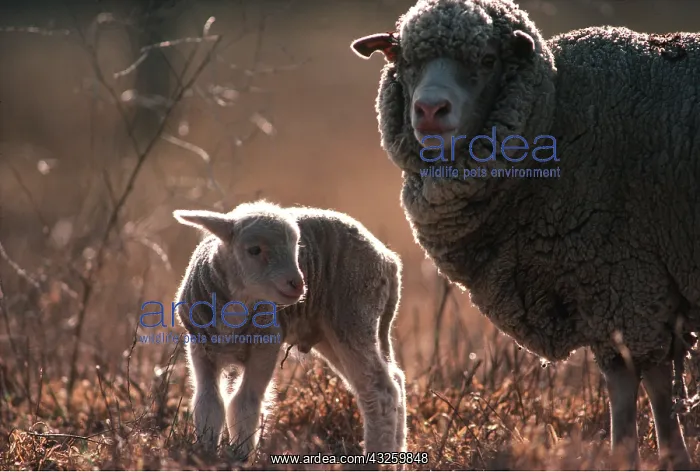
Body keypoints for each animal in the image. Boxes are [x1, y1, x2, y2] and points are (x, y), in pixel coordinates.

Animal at [172, 200, 406, 459]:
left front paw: (241, 456)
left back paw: (379, 457)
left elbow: (245, 402)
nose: (298, 284)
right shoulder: (201, 349)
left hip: (354, 316)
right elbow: (208, 402)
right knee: (393, 380)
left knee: (380, 391)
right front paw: (205, 454)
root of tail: (389, 260)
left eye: (296, 248)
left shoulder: (266, 345)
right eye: (254, 250)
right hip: (334, 334)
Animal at [350, 0, 700, 468]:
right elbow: (644, 384)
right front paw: (653, 455)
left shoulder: (627, 279)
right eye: (403, 60)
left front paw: (644, 455)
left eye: (487, 60)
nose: (429, 110)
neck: (558, 115)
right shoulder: (626, 289)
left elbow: (644, 383)